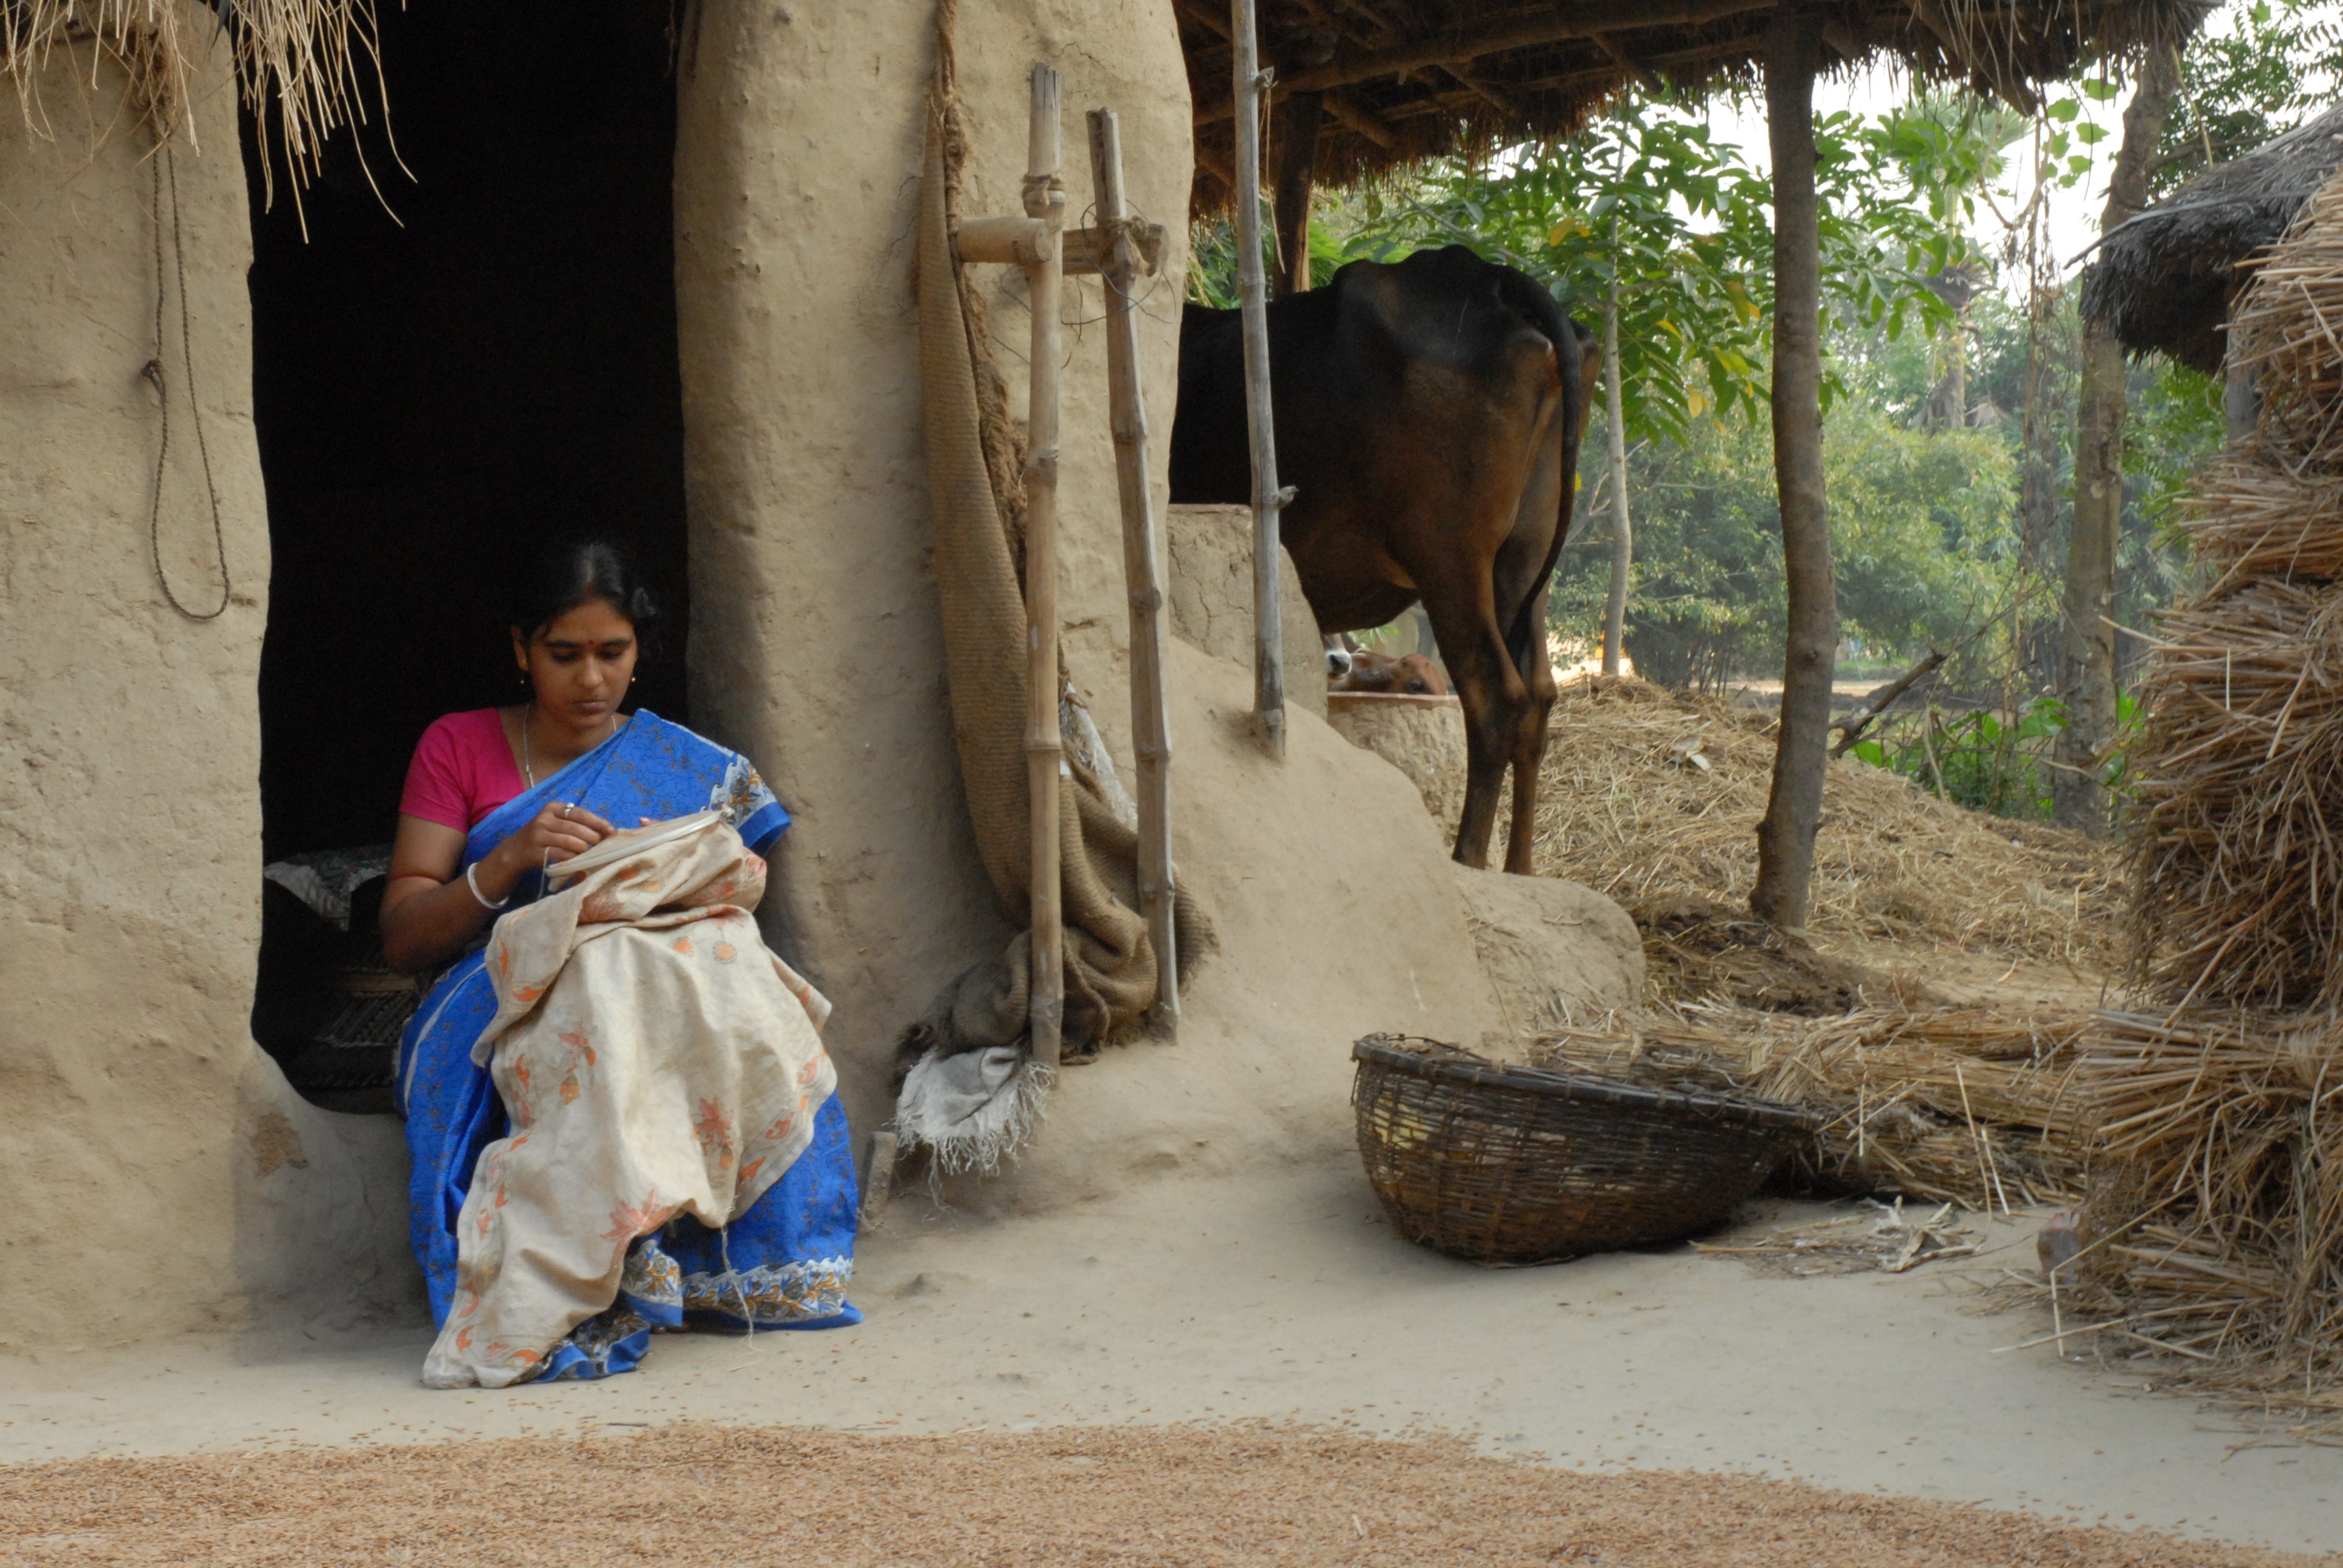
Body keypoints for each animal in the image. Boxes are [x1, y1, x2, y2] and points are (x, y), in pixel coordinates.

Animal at [1167, 250, 1602, 877]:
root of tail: (1488, 275)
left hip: (1449, 556)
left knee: (1497, 696)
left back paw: (1468, 859)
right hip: (1527, 561)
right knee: (1540, 696)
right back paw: (1520, 870)